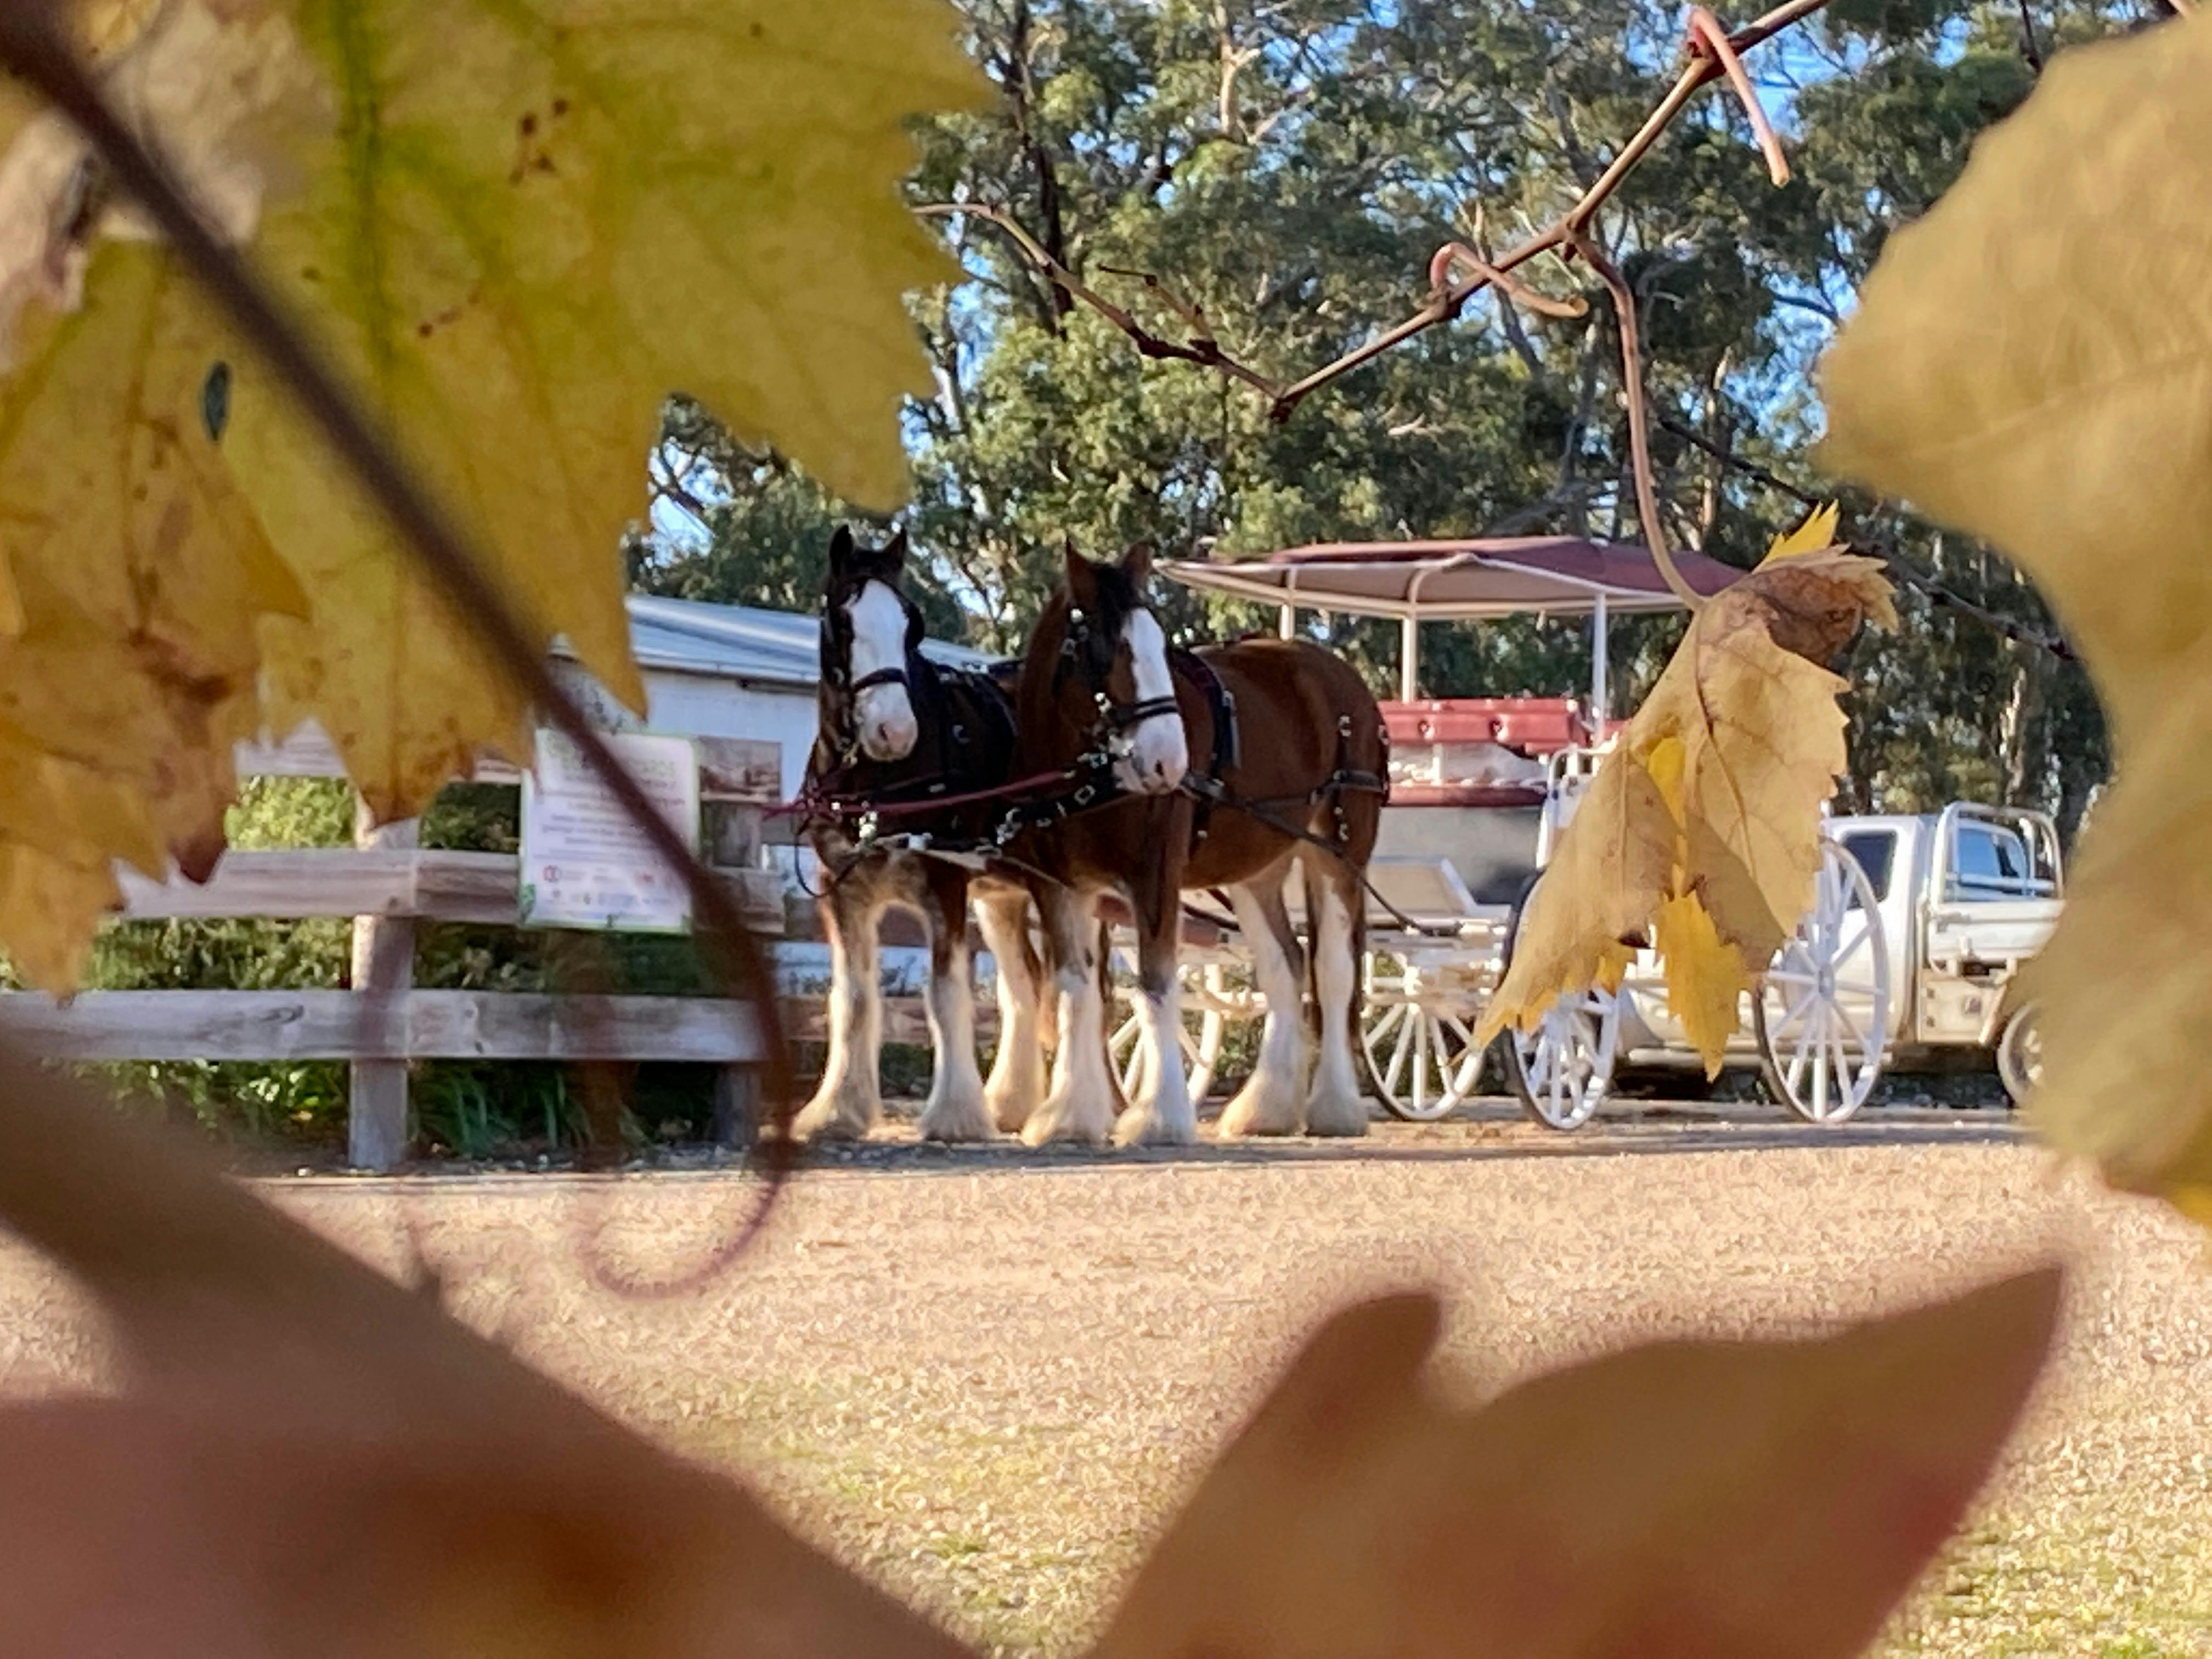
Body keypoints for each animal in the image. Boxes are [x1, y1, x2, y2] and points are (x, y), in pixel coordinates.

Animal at [791, 526, 1049, 1143]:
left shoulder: (945, 885)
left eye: (911, 624)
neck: (878, 783)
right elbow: (855, 998)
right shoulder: (843, 892)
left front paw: (955, 1114)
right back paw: (1016, 1102)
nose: (895, 731)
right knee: (1026, 984)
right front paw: (838, 1110)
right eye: (843, 622)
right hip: (1003, 895)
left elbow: (945, 993)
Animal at [1008, 542, 1387, 1146]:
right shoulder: (1062, 887)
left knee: (1332, 970)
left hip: (1338, 853)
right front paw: (1069, 1115)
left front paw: (1158, 1116)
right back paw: (1267, 1108)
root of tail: (1338, 676)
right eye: (1106, 651)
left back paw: (1335, 1108)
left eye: (1157, 645)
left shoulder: (1154, 877)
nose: (1170, 762)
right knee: (1285, 965)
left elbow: (1154, 989)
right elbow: (1076, 991)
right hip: (1257, 869)